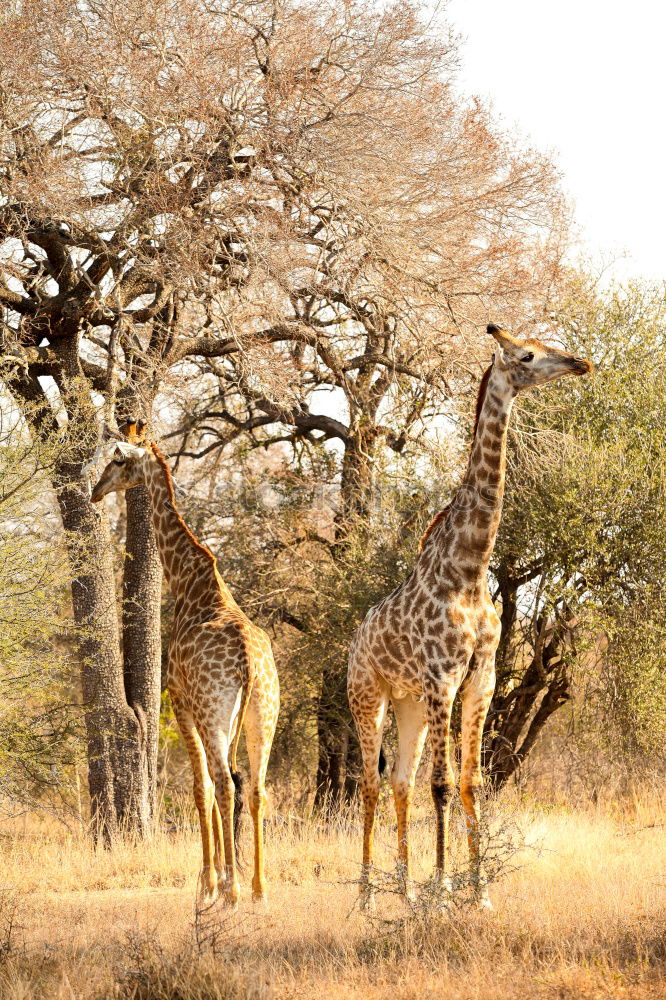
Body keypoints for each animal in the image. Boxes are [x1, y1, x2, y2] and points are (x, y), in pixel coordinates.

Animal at [90, 422, 278, 908]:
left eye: (117, 459)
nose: (95, 491)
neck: (186, 582)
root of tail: (249, 663)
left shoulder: (180, 703)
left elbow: (200, 788)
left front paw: (208, 882)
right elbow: (215, 788)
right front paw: (220, 878)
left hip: (215, 712)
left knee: (225, 783)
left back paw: (231, 891)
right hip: (262, 714)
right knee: (256, 787)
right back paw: (258, 888)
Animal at [344, 324, 588, 912]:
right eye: (527, 355)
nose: (580, 363)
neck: (471, 568)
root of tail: (355, 640)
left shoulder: (483, 676)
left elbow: (472, 781)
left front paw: (477, 893)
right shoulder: (442, 679)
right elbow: (443, 784)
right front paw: (443, 891)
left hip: (407, 703)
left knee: (400, 782)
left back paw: (404, 892)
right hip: (369, 696)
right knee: (370, 783)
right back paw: (367, 900)